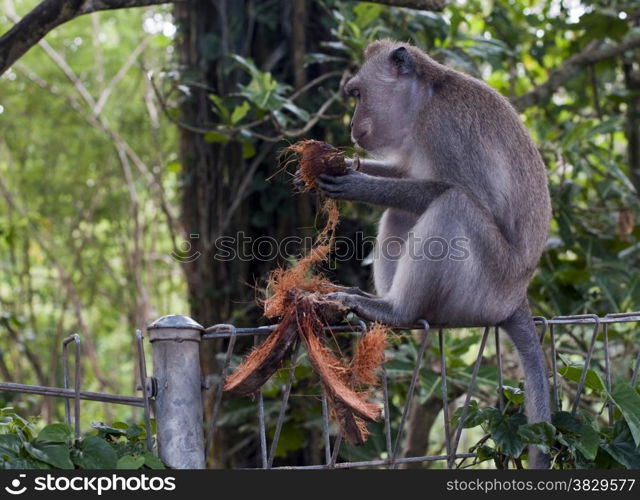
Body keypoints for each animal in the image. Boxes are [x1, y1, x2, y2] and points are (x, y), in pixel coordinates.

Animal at [312, 40, 552, 468]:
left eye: (356, 95)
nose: (352, 129)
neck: (424, 100)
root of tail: (516, 298)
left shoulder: (446, 131)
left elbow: (467, 196)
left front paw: (358, 184)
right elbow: (405, 174)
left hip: (484, 289)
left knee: (452, 206)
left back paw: (397, 310)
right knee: (401, 213)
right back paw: (376, 300)